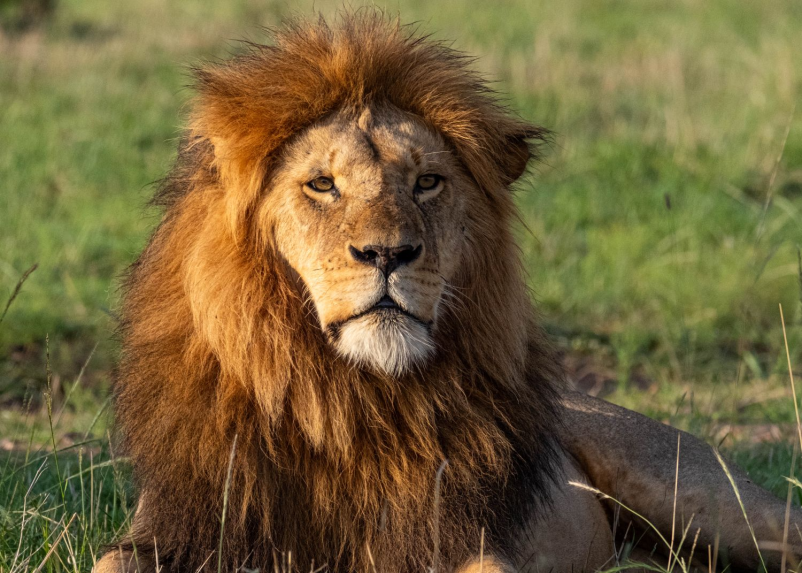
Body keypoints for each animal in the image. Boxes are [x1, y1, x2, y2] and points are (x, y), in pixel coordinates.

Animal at [95, 12, 800, 572]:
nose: (387, 254)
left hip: (703, 495)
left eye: (428, 182)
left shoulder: (463, 538)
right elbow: (110, 560)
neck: (350, 401)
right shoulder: (177, 525)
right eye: (322, 184)